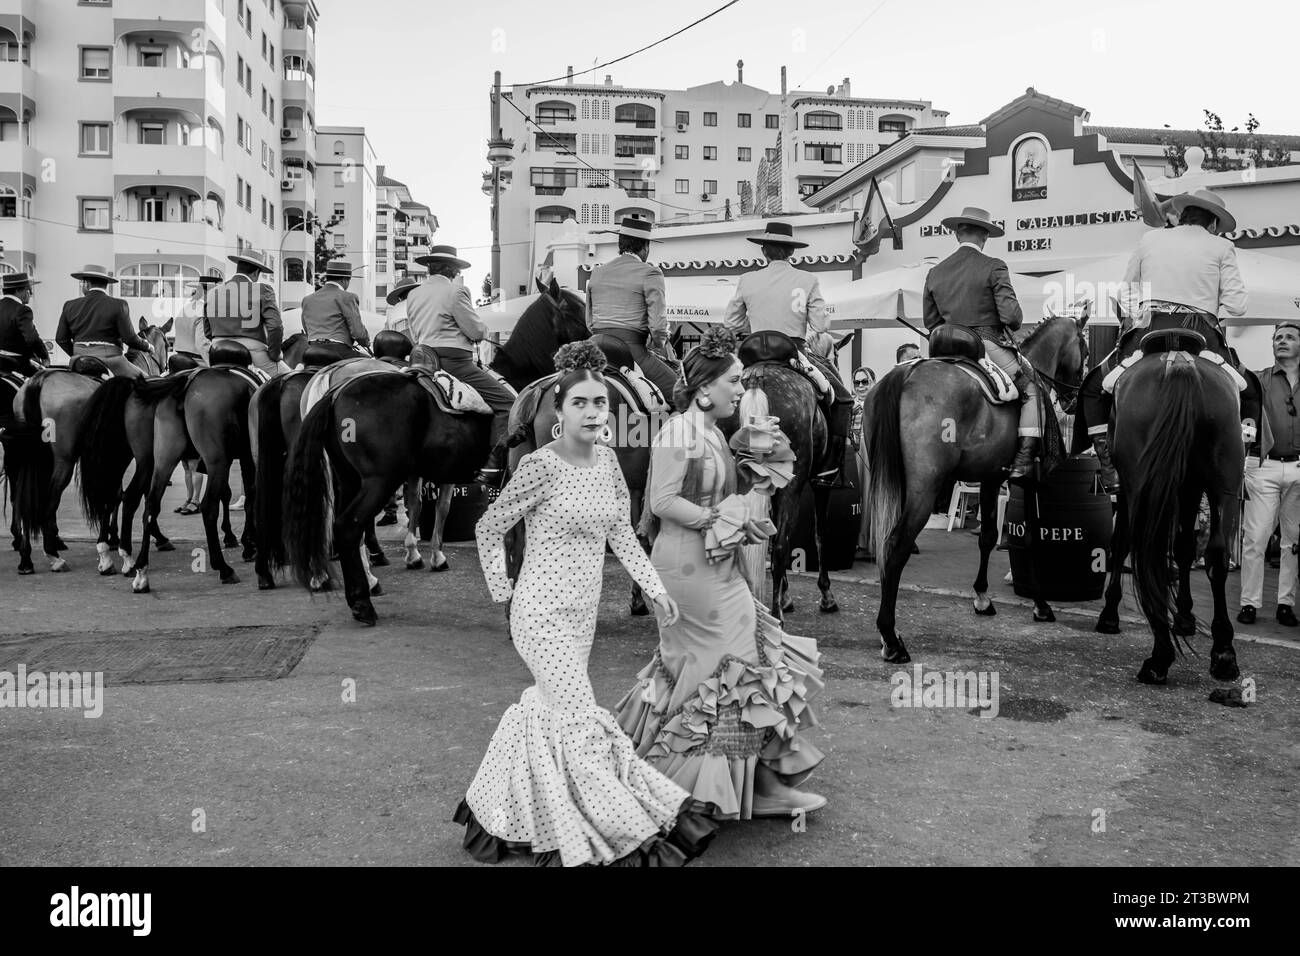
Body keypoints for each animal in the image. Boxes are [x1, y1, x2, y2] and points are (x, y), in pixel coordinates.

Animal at [284, 369, 491, 624]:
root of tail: (334, 394)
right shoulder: (445, 476)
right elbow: (442, 508)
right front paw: (436, 556)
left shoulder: (415, 472)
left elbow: (416, 503)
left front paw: (414, 554)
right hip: (380, 482)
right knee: (348, 526)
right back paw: (363, 602)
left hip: (349, 479)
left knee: (338, 525)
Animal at [868, 317, 1092, 660]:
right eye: (1085, 349)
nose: (1073, 398)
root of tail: (903, 374)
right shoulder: (1026, 482)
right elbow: (1028, 539)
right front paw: (1040, 605)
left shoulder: (989, 478)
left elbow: (987, 537)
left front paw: (982, 597)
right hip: (924, 489)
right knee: (897, 545)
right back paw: (891, 639)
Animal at [1097, 348, 1248, 686]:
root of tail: (1180, 362)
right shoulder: (1189, 487)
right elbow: (1184, 547)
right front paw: (1185, 617)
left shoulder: (1128, 490)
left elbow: (1121, 544)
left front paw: (1109, 613)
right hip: (1222, 480)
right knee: (1216, 555)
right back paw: (1223, 653)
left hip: (1141, 485)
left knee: (1147, 552)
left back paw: (1159, 657)